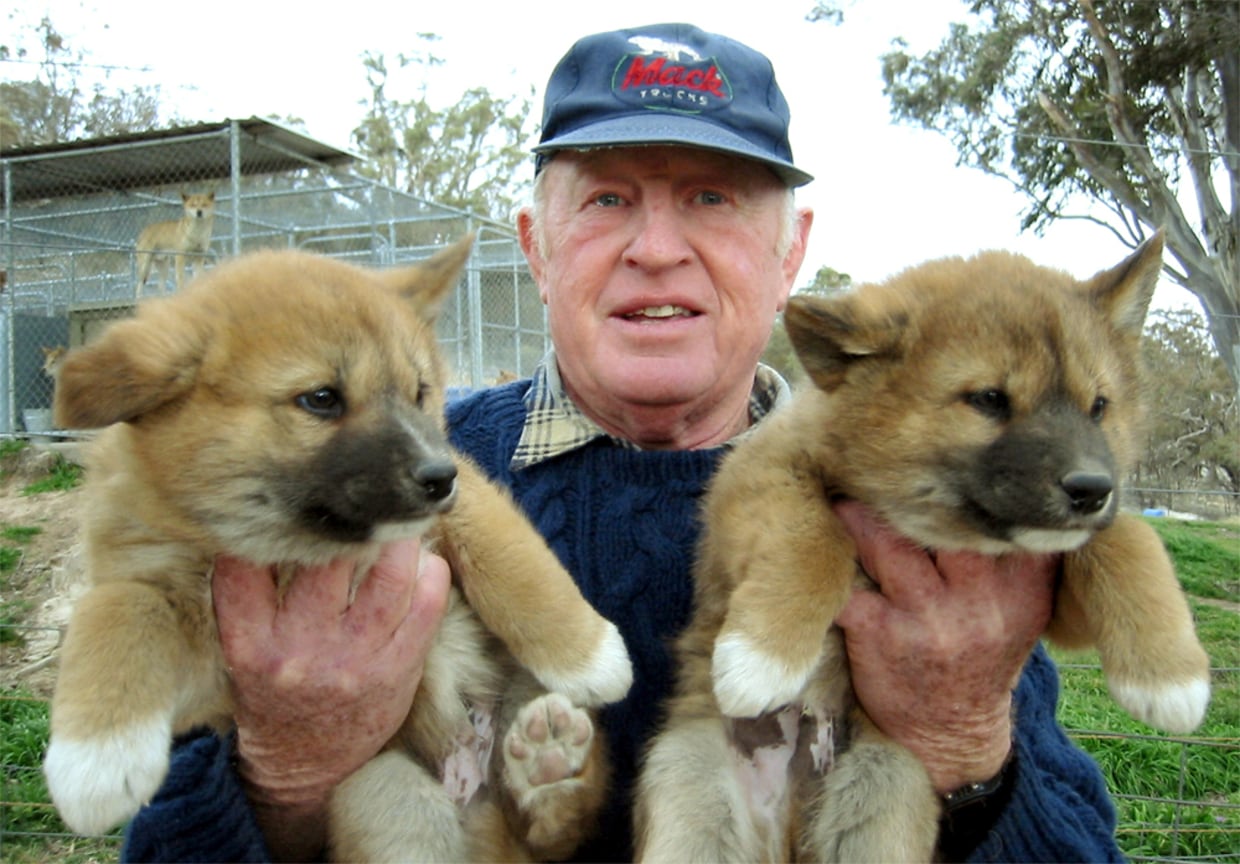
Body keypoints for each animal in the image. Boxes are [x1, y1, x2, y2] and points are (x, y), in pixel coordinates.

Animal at [44, 234, 634, 857]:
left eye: (419, 391)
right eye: (321, 398)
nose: (438, 477)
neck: (300, 548)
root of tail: (469, 785)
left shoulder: (468, 502)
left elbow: (514, 567)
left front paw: (591, 654)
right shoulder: (171, 607)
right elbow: (117, 614)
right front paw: (95, 760)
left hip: (517, 690)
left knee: (554, 828)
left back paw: (551, 771)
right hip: (385, 791)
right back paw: (543, 767)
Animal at [639, 233, 1210, 857]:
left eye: (1100, 407)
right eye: (989, 399)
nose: (1092, 489)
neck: (934, 527)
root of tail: (790, 829)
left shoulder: (1056, 598)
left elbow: (1130, 538)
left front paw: (1170, 677)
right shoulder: (752, 476)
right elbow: (813, 535)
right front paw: (761, 658)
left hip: (883, 788)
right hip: (688, 786)